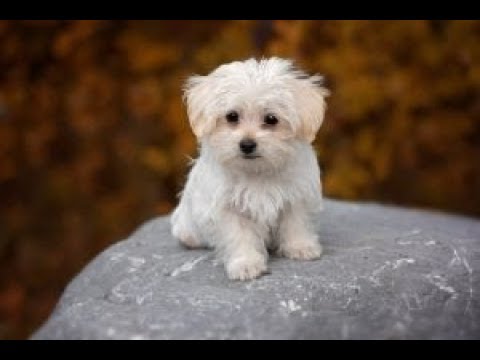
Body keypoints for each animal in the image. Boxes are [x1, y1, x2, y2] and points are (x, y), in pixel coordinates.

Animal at [170, 57, 330, 282]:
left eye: (271, 119)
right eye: (232, 116)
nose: (247, 144)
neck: (256, 172)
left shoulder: (296, 194)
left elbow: (296, 222)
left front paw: (301, 247)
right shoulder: (227, 208)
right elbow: (239, 236)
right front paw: (245, 264)